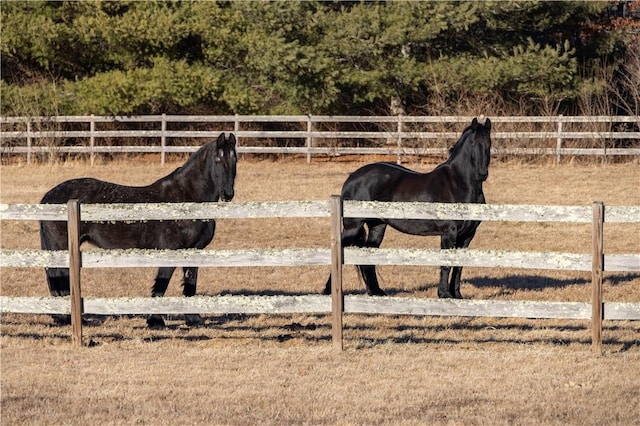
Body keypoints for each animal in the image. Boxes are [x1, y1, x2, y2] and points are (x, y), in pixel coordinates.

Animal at [41, 133, 239, 330]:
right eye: (217, 158)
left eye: (234, 159)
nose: (228, 194)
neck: (187, 199)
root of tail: (47, 198)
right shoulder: (170, 251)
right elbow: (162, 283)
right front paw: (155, 321)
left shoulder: (194, 250)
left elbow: (190, 283)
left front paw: (194, 319)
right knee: (60, 277)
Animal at [322, 118, 492, 300]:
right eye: (473, 143)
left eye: (489, 143)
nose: (482, 174)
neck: (459, 184)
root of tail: (351, 179)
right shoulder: (449, 232)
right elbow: (446, 264)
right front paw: (444, 294)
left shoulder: (467, 236)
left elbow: (459, 266)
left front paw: (457, 295)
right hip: (353, 226)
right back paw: (328, 292)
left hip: (377, 226)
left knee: (368, 258)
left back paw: (376, 292)